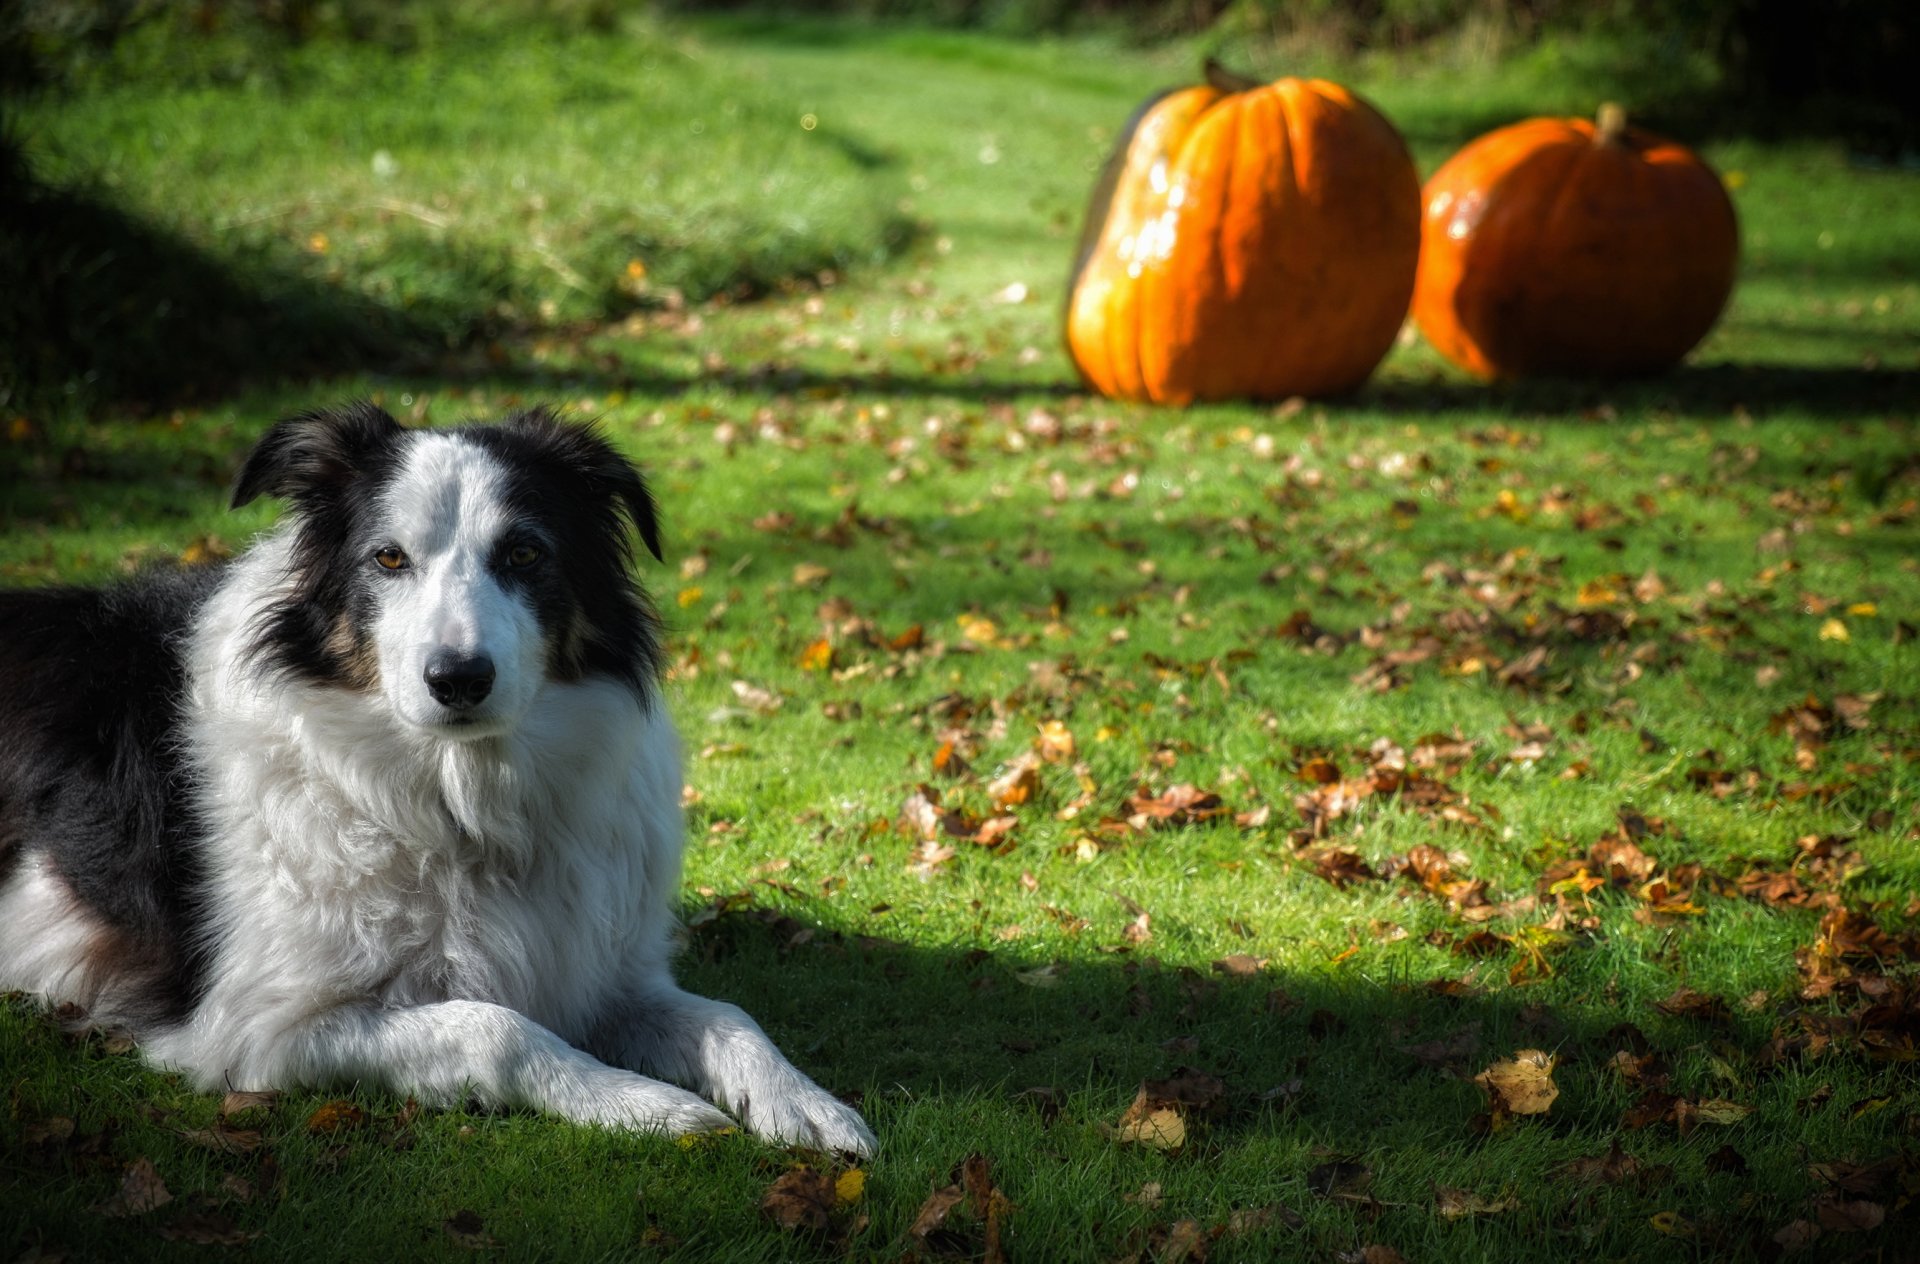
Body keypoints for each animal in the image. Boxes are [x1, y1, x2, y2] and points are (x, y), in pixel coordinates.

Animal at [0, 403, 871, 1152]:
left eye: (524, 553)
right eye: (389, 558)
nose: (459, 679)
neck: (458, 802)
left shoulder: (601, 966)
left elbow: (729, 1015)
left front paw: (806, 1102)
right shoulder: (256, 1027)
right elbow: (495, 1026)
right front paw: (645, 1103)